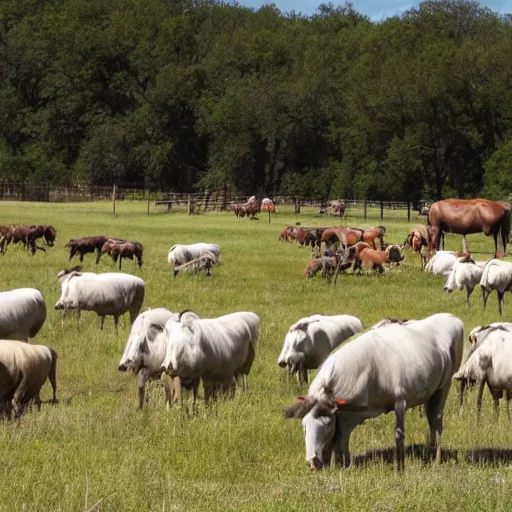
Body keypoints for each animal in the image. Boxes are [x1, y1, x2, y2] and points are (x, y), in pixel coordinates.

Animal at [286, 314, 466, 474]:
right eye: (304, 426)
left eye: (327, 425)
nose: (313, 462)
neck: (368, 369)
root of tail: (453, 319)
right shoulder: (346, 413)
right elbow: (342, 437)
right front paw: (344, 465)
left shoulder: (400, 402)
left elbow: (399, 434)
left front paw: (400, 469)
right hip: (431, 394)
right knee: (431, 420)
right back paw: (430, 450)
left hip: (444, 386)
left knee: (437, 421)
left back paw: (436, 459)